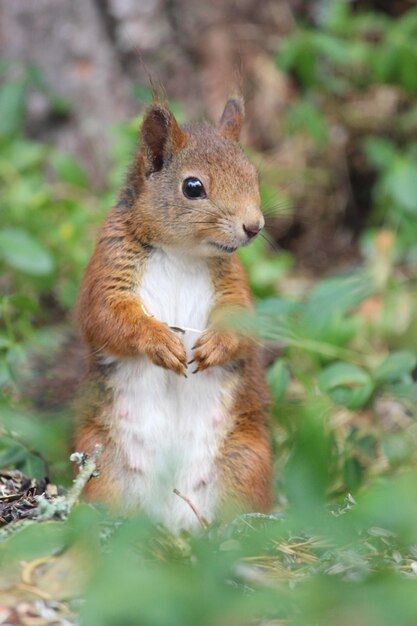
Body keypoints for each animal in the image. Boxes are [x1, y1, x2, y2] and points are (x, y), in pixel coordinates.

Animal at [75, 94, 272, 532]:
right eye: (192, 187)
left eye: (254, 175)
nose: (254, 226)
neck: (183, 252)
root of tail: (174, 519)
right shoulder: (108, 267)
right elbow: (104, 317)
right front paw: (160, 342)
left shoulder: (234, 283)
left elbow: (243, 324)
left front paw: (214, 346)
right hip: (100, 464)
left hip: (247, 461)